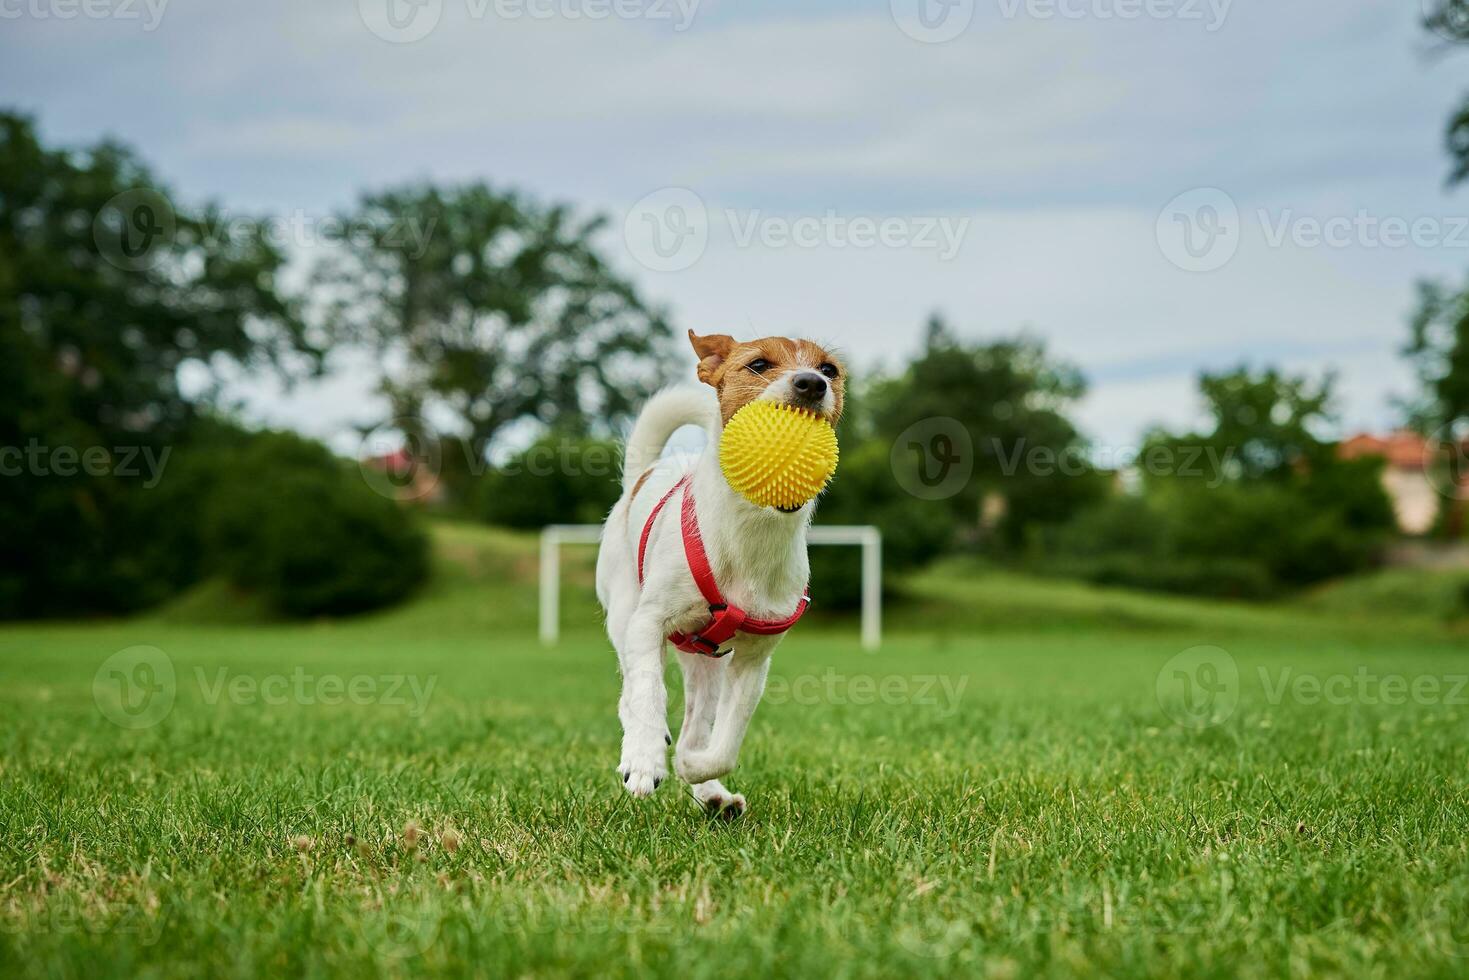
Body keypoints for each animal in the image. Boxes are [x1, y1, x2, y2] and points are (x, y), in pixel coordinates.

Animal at [593, 333, 846, 816]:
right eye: (759, 364)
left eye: (830, 370)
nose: (811, 383)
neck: (752, 528)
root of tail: (640, 476)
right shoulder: (648, 622)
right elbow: (648, 692)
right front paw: (646, 760)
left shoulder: (753, 661)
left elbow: (724, 744)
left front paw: (693, 768)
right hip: (623, 615)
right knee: (630, 688)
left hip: (708, 662)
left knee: (698, 719)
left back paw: (710, 791)